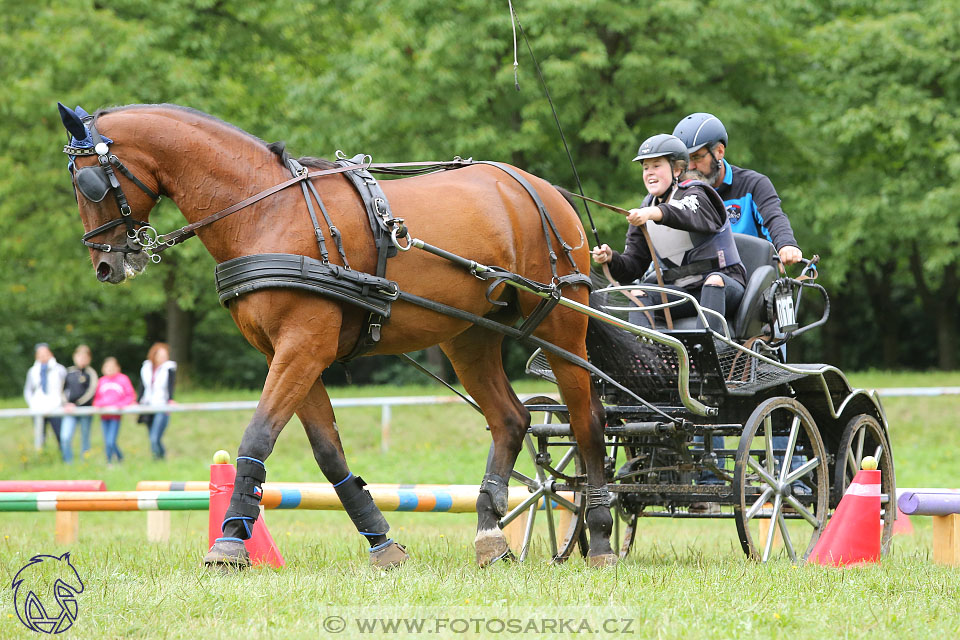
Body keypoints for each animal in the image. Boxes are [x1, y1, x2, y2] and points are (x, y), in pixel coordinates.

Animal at [60, 105, 616, 568]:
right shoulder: (287, 352)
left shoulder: (303, 346)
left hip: (562, 323)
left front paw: (229, 542)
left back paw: (602, 537)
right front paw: (381, 541)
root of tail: (540, 187)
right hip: (470, 336)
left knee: (587, 419)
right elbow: (328, 453)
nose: (106, 265)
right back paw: (489, 535)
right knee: (510, 419)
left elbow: (258, 434)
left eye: (88, 183)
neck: (263, 212)